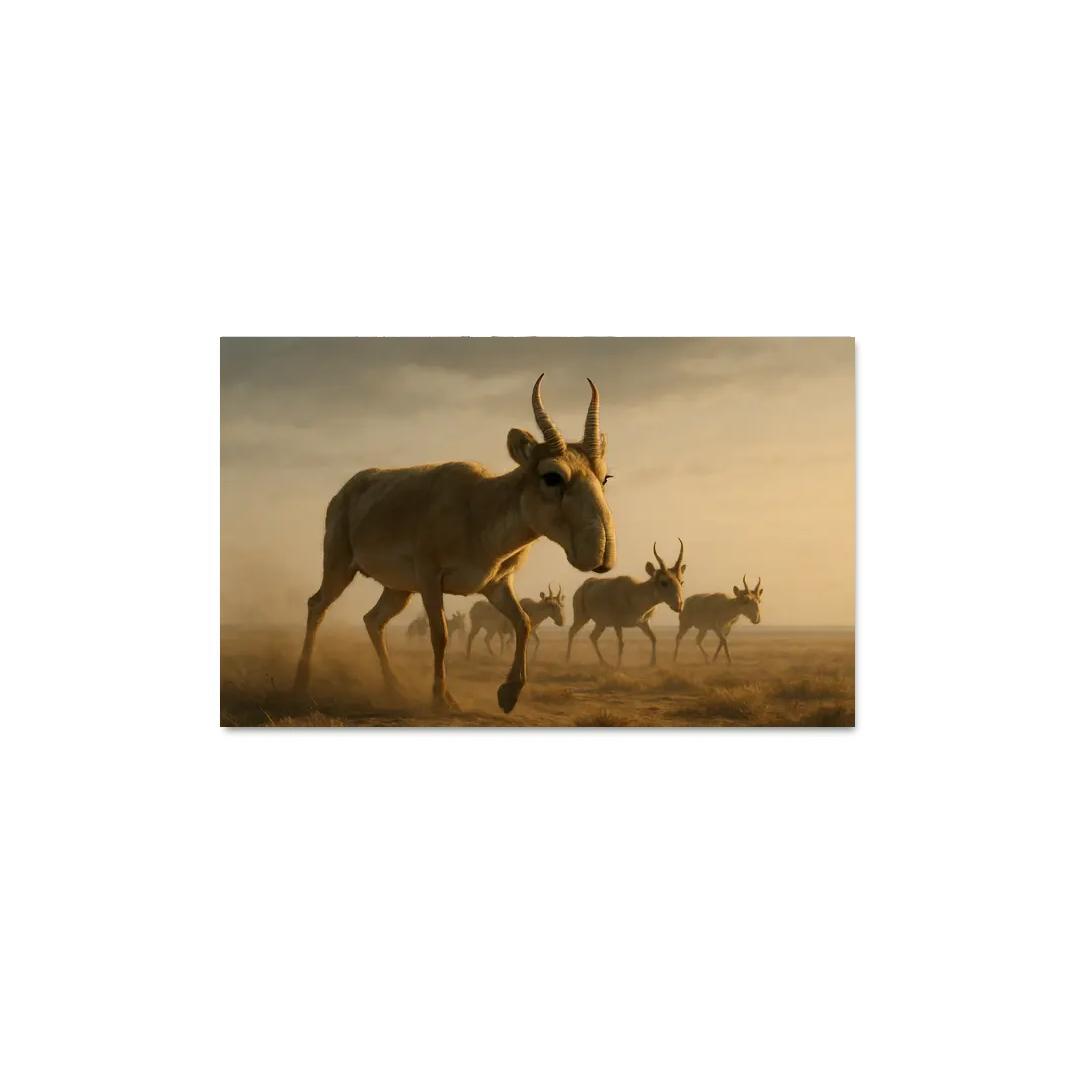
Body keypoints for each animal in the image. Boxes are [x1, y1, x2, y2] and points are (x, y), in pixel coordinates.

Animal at [292, 375, 616, 713]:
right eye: (552, 476)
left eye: (605, 477)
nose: (602, 553)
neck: (479, 508)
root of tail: (345, 491)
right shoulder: (430, 579)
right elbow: (441, 635)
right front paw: (443, 698)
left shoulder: (498, 584)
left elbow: (524, 622)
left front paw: (508, 693)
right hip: (339, 565)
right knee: (317, 604)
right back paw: (301, 685)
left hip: (398, 588)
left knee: (372, 620)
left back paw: (395, 688)